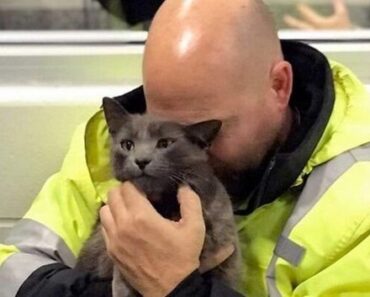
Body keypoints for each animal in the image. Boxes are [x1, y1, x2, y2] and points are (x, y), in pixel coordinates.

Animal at [76, 96, 241, 294]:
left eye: (164, 143)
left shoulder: (227, 256)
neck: (163, 204)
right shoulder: (120, 265)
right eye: (127, 144)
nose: (141, 160)